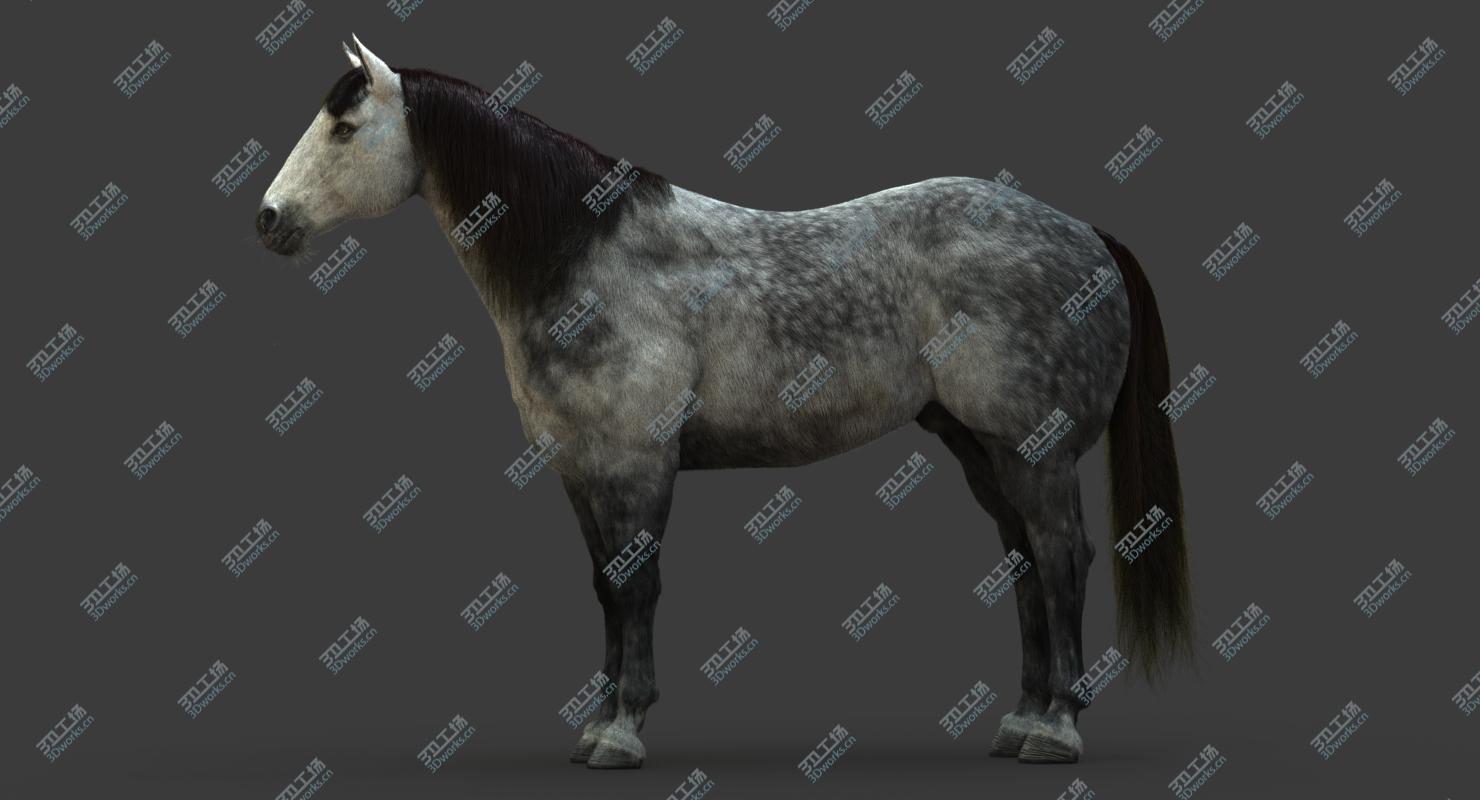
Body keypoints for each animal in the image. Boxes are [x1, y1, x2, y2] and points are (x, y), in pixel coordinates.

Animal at [257, 35, 1193, 768]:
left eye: (344, 128)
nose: (268, 219)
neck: (588, 259)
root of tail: (1085, 234)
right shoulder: (582, 468)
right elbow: (604, 587)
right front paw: (598, 722)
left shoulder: (636, 461)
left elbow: (636, 586)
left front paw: (622, 732)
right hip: (982, 450)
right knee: (1027, 565)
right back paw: (1021, 720)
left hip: (1036, 451)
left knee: (1064, 559)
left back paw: (1057, 730)